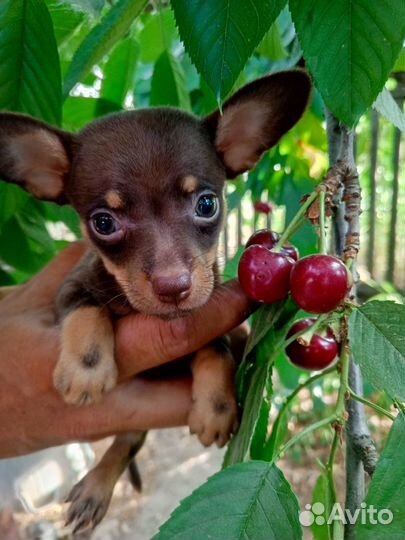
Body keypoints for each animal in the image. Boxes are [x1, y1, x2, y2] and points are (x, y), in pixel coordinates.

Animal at [0, 68, 310, 532]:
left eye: (207, 203)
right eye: (103, 223)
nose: (173, 286)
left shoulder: (217, 322)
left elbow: (216, 350)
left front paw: (216, 406)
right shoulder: (72, 287)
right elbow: (87, 310)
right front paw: (86, 370)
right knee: (126, 440)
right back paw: (95, 487)